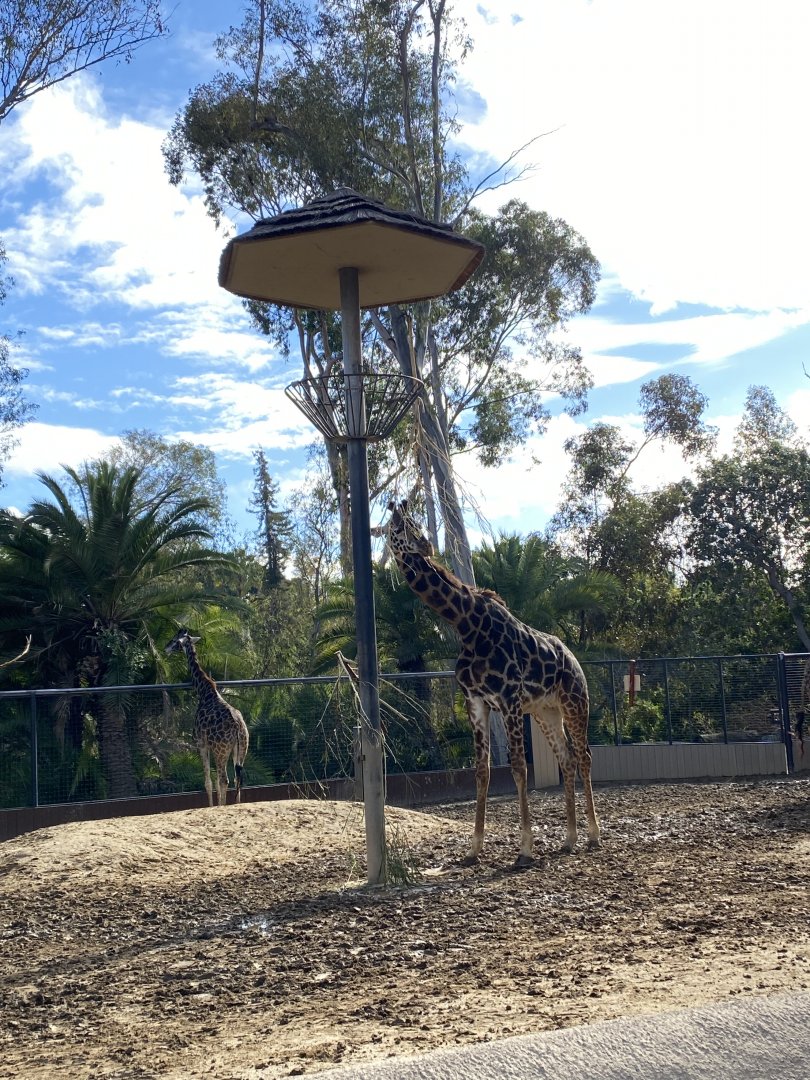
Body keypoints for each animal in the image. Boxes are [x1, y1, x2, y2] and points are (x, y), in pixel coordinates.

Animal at [165, 628, 249, 807]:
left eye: (175, 640)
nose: (166, 648)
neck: (204, 692)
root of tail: (238, 728)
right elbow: (215, 781)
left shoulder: (201, 744)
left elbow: (209, 782)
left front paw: (212, 806)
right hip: (241, 749)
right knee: (237, 779)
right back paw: (236, 805)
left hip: (221, 750)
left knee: (225, 779)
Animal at [385, 500, 600, 868]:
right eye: (397, 528)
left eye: (416, 523)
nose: (425, 547)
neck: (465, 623)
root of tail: (573, 658)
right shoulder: (476, 701)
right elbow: (482, 771)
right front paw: (473, 849)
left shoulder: (508, 698)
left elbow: (518, 767)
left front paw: (525, 848)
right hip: (545, 712)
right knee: (566, 758)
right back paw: (570, 838)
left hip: (575, 701)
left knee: (584, 756)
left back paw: (594, 835)